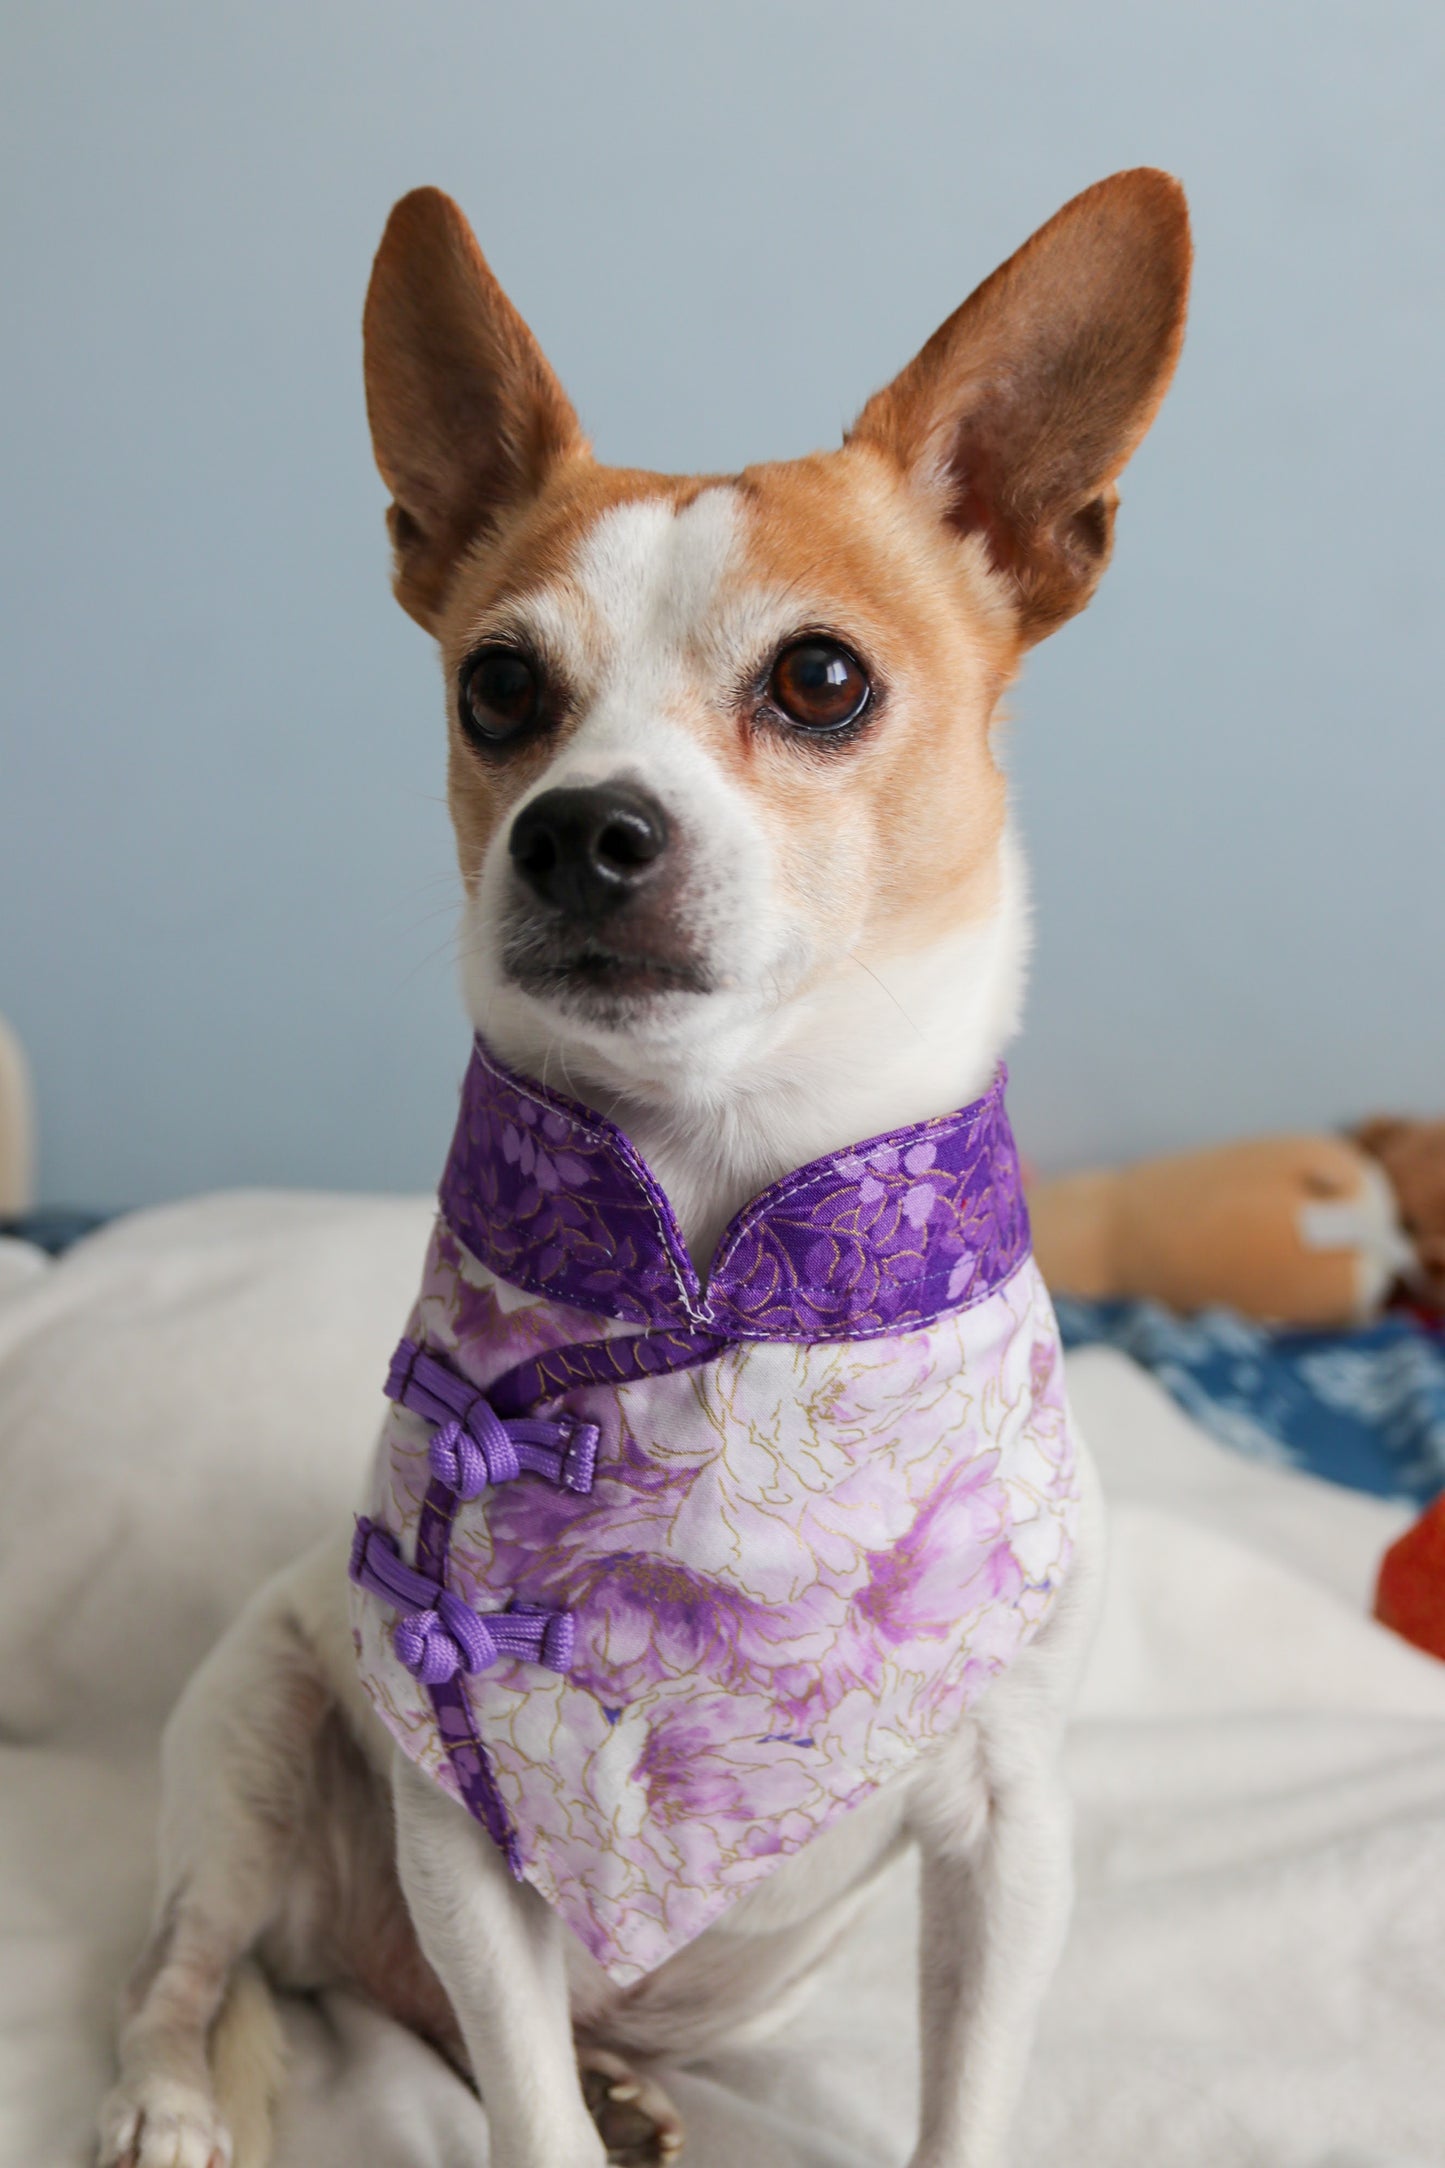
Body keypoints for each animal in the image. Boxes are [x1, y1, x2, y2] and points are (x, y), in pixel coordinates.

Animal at [95, 173, 1195, 2168]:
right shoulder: (472, 1832)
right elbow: (521, 2115)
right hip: (248, 1739)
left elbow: (964, 2096)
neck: (719, 1249)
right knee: (189, 1967)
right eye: (497, 686)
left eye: (822, 678)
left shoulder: (1013, 1842)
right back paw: (167, 2101)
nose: (580, 829)